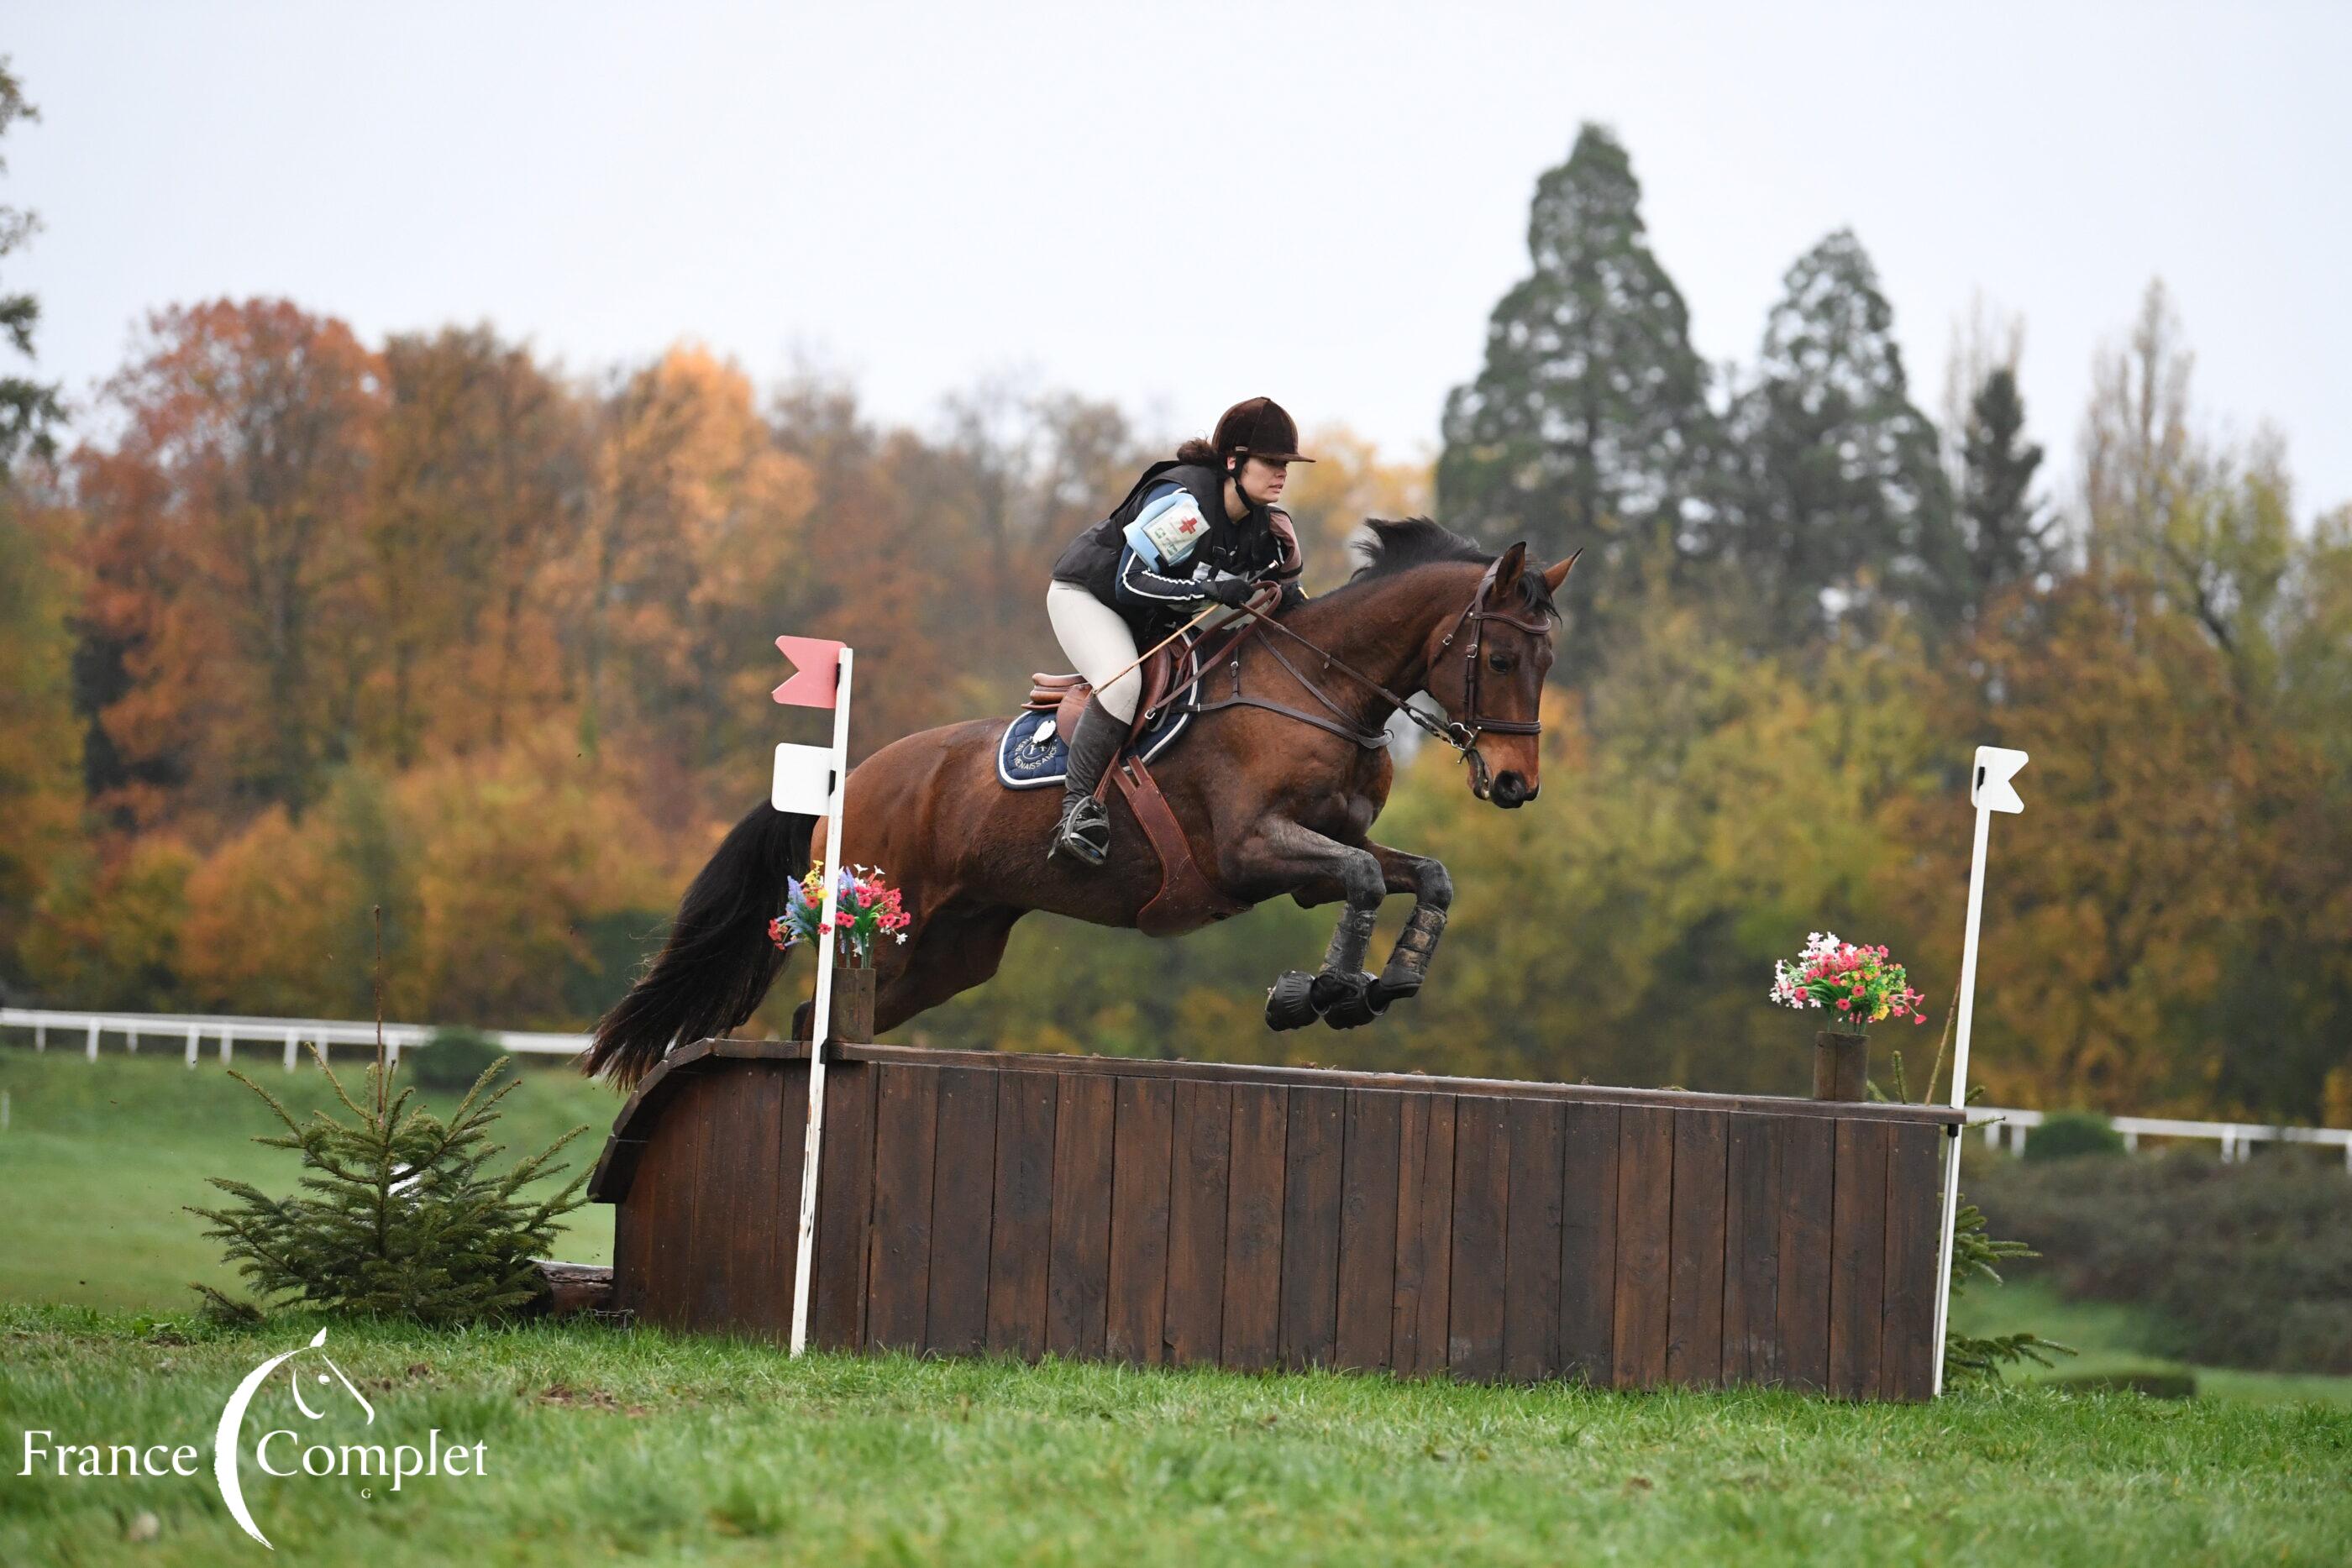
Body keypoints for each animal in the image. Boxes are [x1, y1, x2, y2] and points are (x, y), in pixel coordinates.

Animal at [583, 519, 1577, 1087]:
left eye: (1548, 659)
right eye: (1498, 657)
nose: (1514, 784)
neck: (1322, 690)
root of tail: (848, 780)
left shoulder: (1312, 860)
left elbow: (1426, 876)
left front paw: (1388, 981)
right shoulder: (1253, 851)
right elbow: (1367, 880)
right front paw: (1320, 993)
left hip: (950, 951)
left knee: (817, 1022)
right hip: (879, 920)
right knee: (820, 1014)